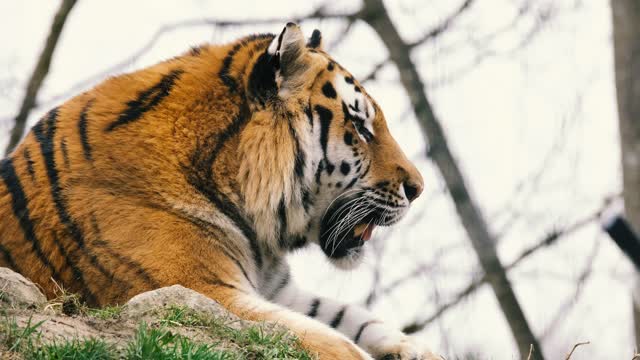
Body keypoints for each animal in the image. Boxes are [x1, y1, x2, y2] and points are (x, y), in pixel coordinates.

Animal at [0, 23, 436, 358]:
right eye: (361, 128)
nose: (418, 189)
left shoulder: (277, 289)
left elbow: (356, 318)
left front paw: (417, 349)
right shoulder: (200, 289)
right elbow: (336, 342)